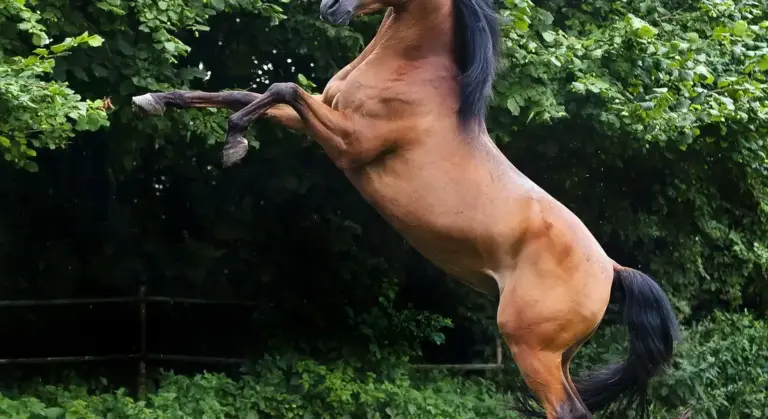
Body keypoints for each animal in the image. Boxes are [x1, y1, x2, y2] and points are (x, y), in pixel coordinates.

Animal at [130, 0, 681, 416]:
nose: (330, 8)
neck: (410, 76)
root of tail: (611, 268)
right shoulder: (317, 117)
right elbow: (246, 91)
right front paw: (154, 99)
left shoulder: (348, 142)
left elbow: (279, 88)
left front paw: (234, 143)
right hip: (558, 357)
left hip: (532, 350)